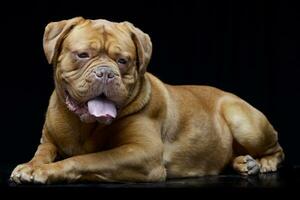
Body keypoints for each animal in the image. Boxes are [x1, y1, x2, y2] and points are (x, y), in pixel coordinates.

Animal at [9, 17, 284, 184]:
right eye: (83, 55)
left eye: (123, 60)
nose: (106, 73)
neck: (84, 124)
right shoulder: (48, 142)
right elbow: (42, 153)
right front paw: (31, 165)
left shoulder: (141, 153)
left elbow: (86, 159)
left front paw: (47, 171)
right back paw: (243, 162)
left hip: (244, 122)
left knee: (277, 149)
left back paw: (262, 163)